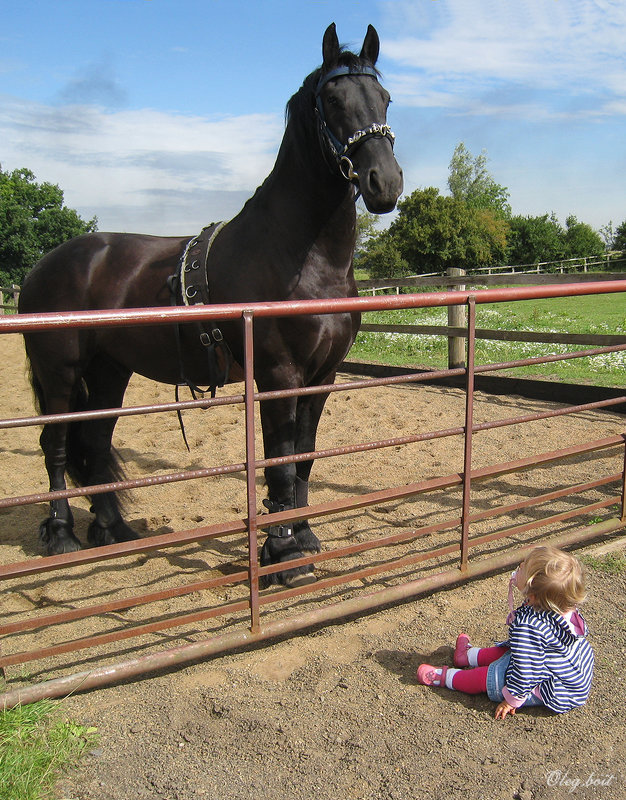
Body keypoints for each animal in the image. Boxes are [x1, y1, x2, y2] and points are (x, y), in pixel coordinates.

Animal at [19, 23, 402, 588]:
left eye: (385, 97)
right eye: (333, 100)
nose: (385, 183)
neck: (303, 256)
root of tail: (45, 264)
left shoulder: (322, 377)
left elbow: (304, 458)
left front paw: (304, 539)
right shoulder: (278, 376)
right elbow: (280, 463)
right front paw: (283, 555)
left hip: (110, 371)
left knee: (95, 441)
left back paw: (113, 530)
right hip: (60, 373)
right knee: (57, 444)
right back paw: (63, 535)